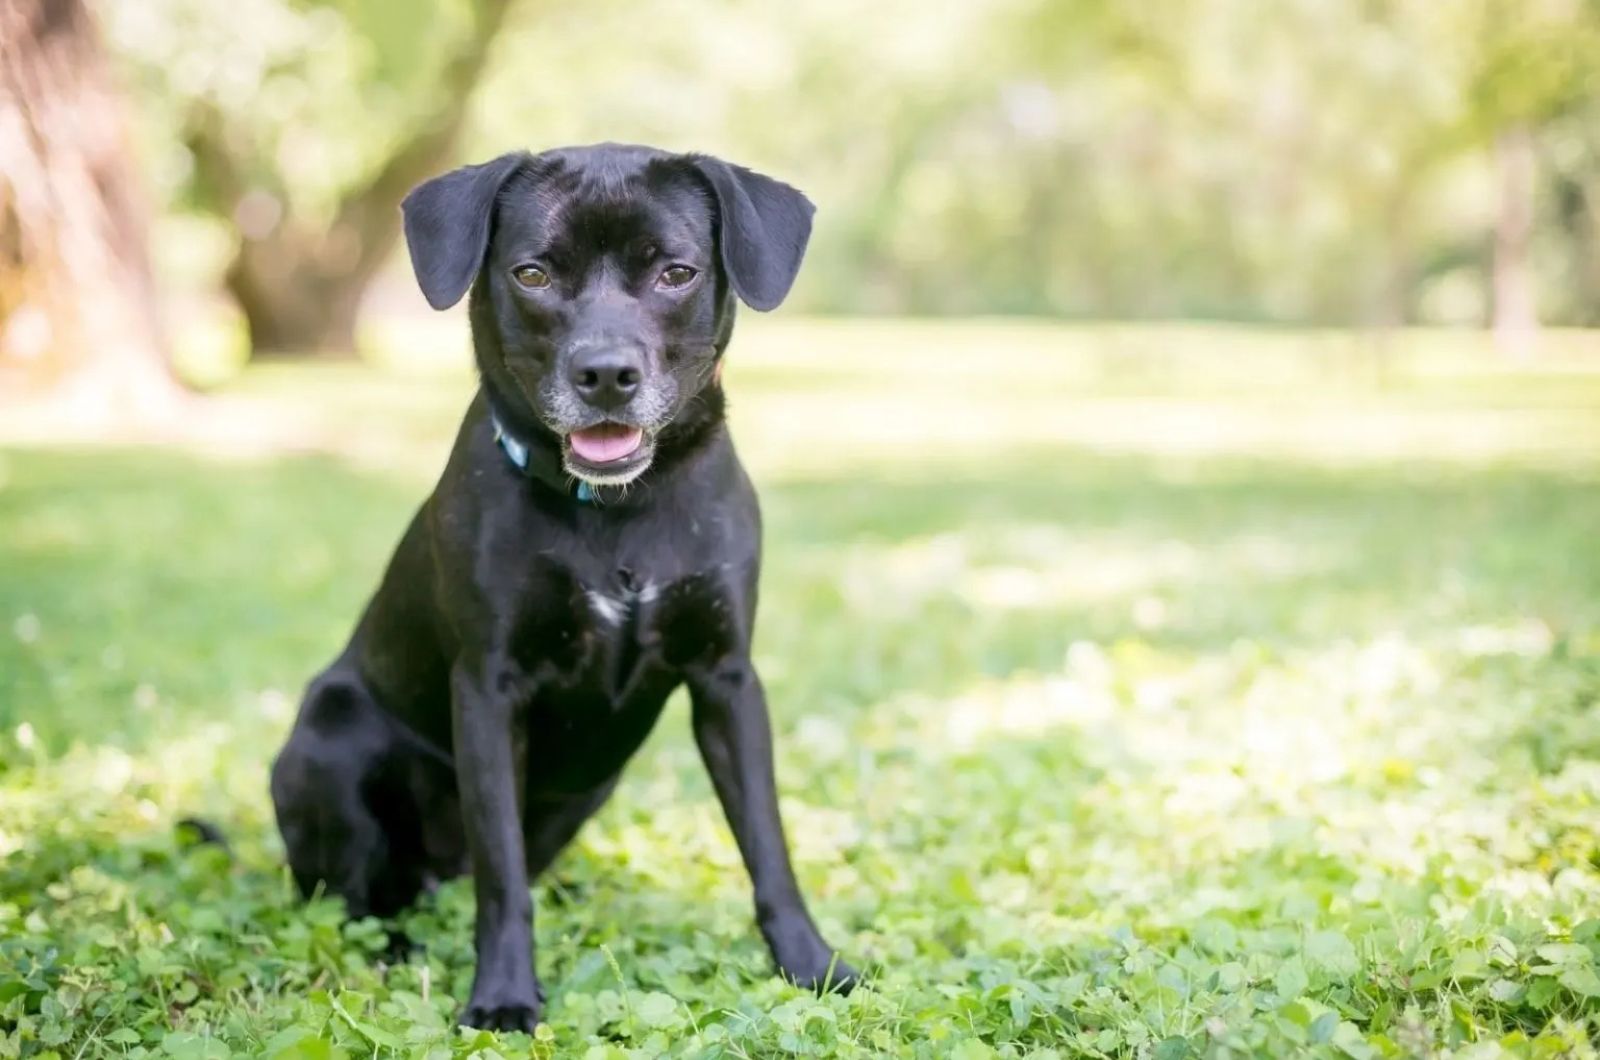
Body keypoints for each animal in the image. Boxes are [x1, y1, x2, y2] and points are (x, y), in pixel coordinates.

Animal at [268, 145, 857, 1031]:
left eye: (676, 272)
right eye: (533, 273)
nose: (606, 373)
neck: (617, 511)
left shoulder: (726, 682)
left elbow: (768, 844)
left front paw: (811, 964)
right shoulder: (488, 690)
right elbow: (502, 873)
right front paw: (504, 996)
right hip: (328, 740)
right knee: (359, 897)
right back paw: (392, 952)